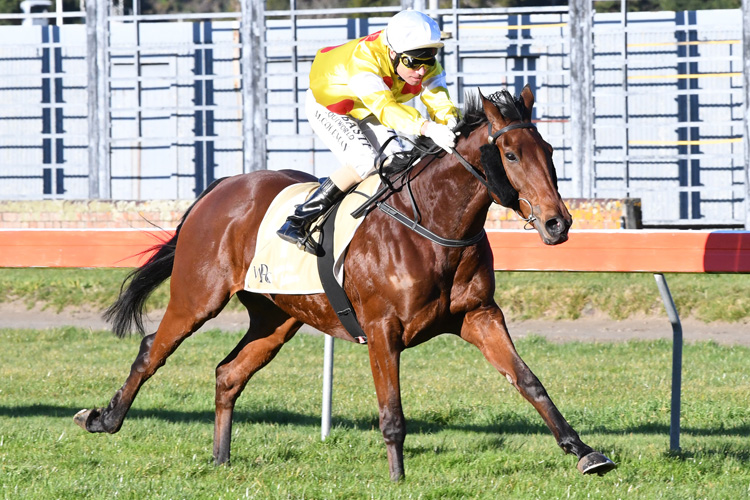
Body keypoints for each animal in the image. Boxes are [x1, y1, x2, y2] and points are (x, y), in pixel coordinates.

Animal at [75, 86, 616, 480]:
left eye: (547, 149)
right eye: (509, 153)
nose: (558, 223)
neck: (434, 226)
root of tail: (220, 188)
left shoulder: (478, 315)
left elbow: (529, 381)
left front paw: (585, 452)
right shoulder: (381, 329)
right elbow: (392, 412)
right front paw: (398, 479)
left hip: (277, 316)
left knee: (229, 374)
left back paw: (220, 459)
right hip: (197, 296)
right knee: (151, 350)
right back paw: (103, 418)